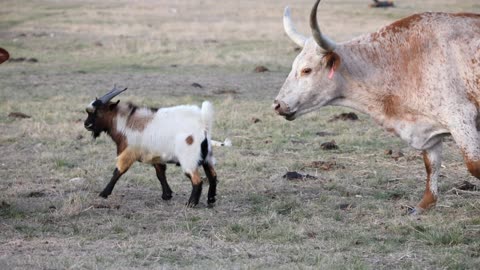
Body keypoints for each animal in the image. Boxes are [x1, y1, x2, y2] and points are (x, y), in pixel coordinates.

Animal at [85, 86, 220, 207]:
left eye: (98, 112)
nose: (86, 124)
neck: (127, 123)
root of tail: (203, 125)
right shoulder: (155, 155)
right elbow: (160, 174)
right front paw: (167, 195)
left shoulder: (129, 153)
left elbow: (117, 172)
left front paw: (103, 193)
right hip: (207, 158)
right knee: (213, 176)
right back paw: (211, 200)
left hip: (189, 160)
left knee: (197, 181)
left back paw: (191, 203)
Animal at [274, 0, 480, 215]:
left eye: (307, 70)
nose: (277, 104)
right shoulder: (427, 129)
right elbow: (431, 166)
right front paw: (423, 206)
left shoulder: (461, 119)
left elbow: (475, 166)